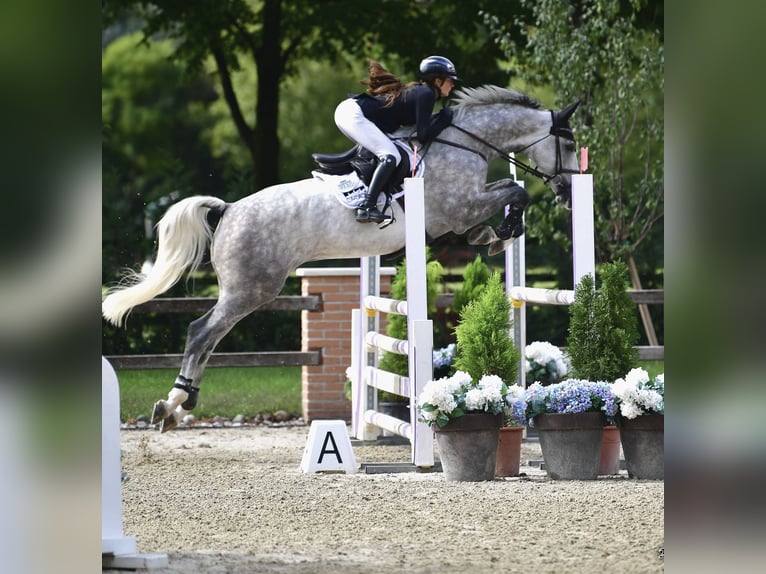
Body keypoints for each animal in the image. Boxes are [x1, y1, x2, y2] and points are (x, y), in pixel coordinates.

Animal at [102, 85, 580, 432]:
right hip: (251, 289)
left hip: (246, 290)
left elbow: (505, 194)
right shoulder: (458, 208)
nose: (569, 194)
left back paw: (181, 405)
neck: (464, 142)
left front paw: (497, 234)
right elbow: (514, 191)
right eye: (571, 146)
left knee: (206, 337)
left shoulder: (462, 209)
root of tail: (229, 210)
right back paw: (174, 403)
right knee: (201, 333)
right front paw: (501, 233)